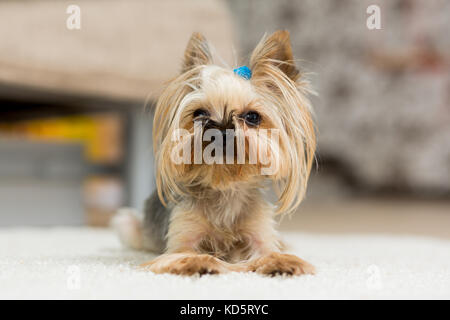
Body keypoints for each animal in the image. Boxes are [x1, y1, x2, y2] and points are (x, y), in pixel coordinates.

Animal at [112, 29, 316, 276]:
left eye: (252, 117)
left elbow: (268, 252)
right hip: (126, 223)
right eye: (199, 113)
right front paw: (204, 262)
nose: (221, 127)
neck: (224, 185)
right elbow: (188, 255)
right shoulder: (181, 240)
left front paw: (284, 262)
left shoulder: (260, 235)